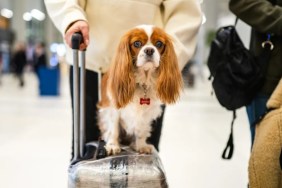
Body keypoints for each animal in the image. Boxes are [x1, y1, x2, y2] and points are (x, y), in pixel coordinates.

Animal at [98, 24, 184, 154]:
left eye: (159, 43)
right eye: (137, 43)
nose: (149, 50)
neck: (143, 80)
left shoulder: (147, 112)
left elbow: (140, 130)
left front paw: (141, 145)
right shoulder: (113, 108)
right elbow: (114, 129)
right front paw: (113, 145)